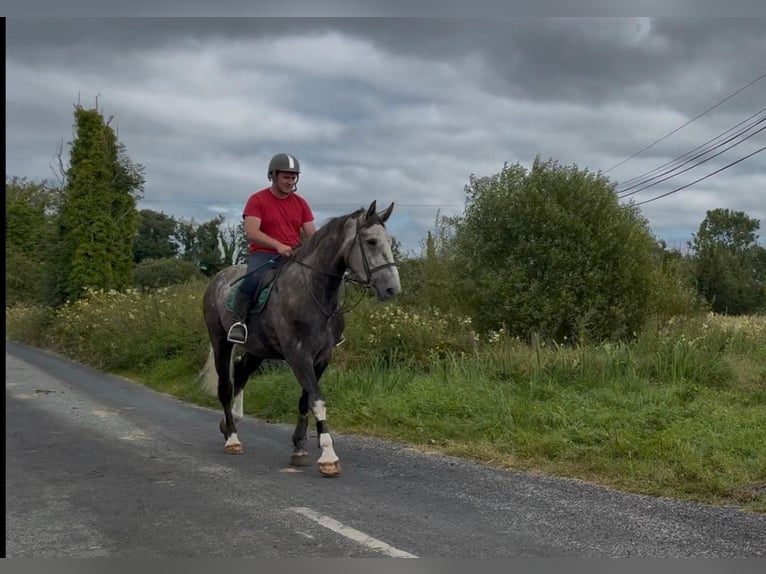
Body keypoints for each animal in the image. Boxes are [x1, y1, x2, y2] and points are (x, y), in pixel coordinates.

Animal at [199, 200, 401, 477]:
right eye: (371, 241)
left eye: (389, 241)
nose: (392, 289)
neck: (313, 291)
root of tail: (218, 279)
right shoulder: (298, 355)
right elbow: (317, 399)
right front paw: (328, 455)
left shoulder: (321, 357)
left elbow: (306, 401)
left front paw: (300, 448)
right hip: (221, 341)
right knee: (225, 387)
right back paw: (232, 438)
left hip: (257, 349)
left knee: (241, 373)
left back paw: (232, 421)